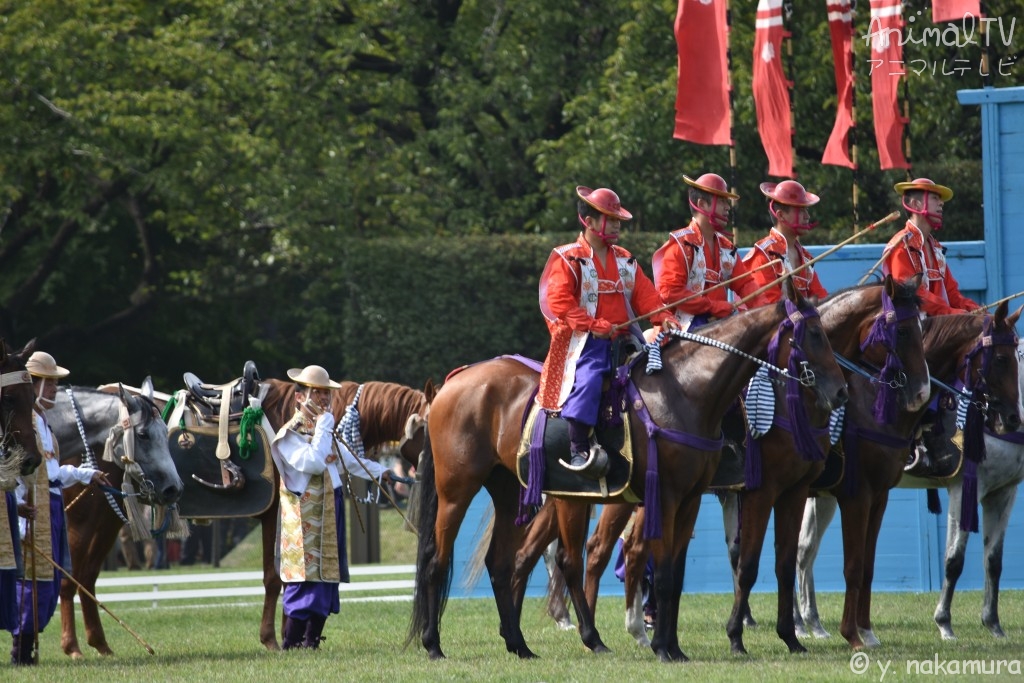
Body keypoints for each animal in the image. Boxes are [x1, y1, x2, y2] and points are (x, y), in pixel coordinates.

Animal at [51, 382, 185, 659]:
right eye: (142, 435)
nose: (173, 489)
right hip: (83, 523)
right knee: (71, 580)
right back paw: (73, 645)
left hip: (104, 523)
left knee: (86, 577)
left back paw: (98, 642)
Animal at [407, 282, 847, 663]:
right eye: (813, 335)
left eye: (828, 334)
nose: (840, 391)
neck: (686, 391)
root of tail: (455, 380)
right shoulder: (690, 496)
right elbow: (681, 570)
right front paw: (677, 646)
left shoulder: (696, 499)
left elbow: (679, 574)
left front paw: (673, 645)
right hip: (457, 491)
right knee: (438, 559)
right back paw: (434, 644)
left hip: (512, 491)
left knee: (508, 563)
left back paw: (523, 644)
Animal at [790, 301, 1024, 651]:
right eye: (1000, 359)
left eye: (1015, 358)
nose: (1010, 418)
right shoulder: (964, 487)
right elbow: (954, 559)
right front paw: (945, 624)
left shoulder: (1004, 491)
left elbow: (993, 561)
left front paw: (993, 624)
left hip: (821, 495)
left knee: (804, 551)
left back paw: (812, 624)